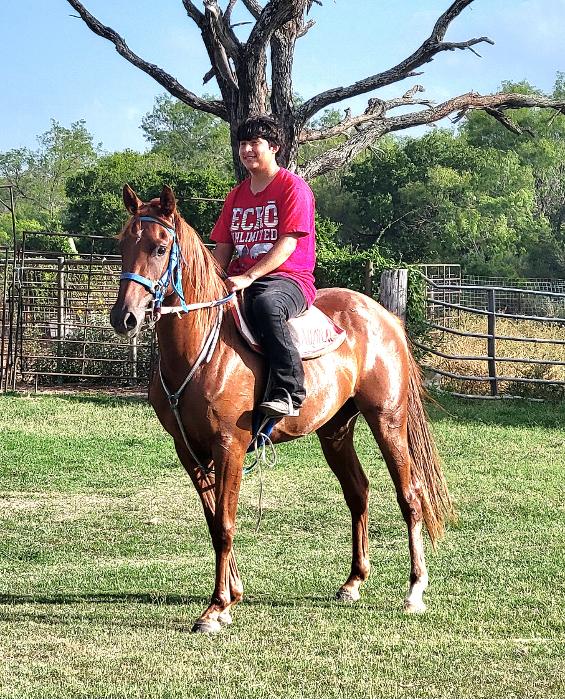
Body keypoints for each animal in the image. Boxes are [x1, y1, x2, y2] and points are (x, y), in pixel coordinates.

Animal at [110, 183, 454, 634]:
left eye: (159, 247)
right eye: (123, 244)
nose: (125, 317)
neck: (204, 348)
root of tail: (383, 316)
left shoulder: (230, 447)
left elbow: (225, 524)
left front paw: (216, 608)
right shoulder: (189, 450)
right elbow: (213, 522)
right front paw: (232, 594)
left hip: (388, 421)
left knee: (409, 495)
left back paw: (415, 590)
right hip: (336, 430)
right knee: (358, 491)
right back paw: (353, 582)